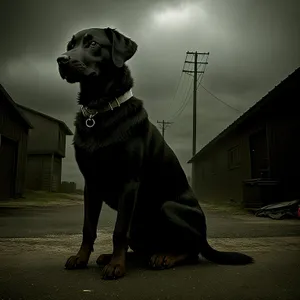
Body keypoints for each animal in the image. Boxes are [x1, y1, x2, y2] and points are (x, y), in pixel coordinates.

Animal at [56, 27, 253, 280]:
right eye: (70, 45)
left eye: (93, 44)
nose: (61, 59)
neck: (100, 110)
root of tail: (205, 238)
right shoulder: (91, 184)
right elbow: (88, 227)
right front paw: (81, 258)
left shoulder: (129, 182)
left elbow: (118, 230)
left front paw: (117, 266)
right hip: (140, 223)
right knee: (143, 248)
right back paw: (113, 256)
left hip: (168, 208)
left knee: (191, 252)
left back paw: (164, 257)